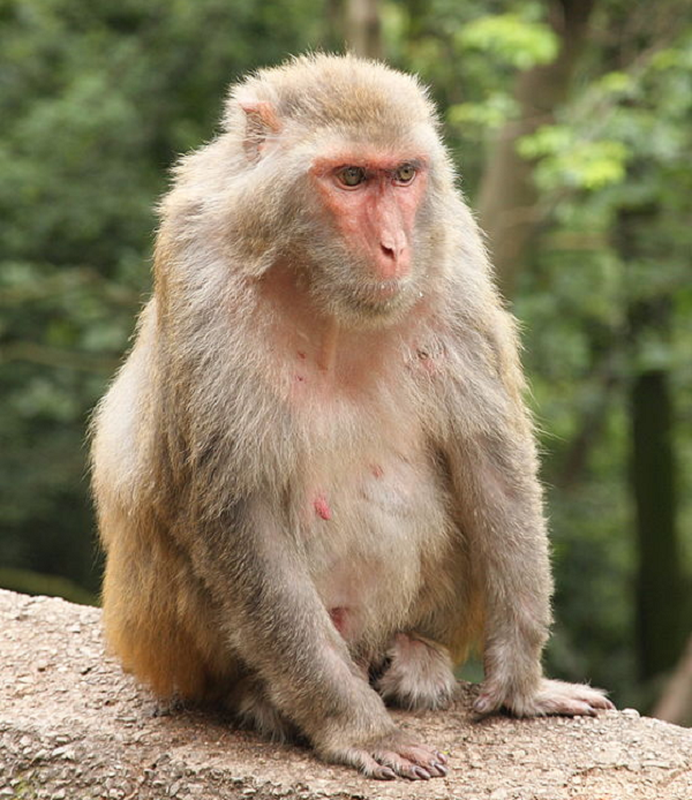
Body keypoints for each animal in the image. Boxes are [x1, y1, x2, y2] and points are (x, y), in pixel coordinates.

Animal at [90, 53, 612, 780]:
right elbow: (236, 507)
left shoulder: (451, 250)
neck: (319, 284)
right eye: (351, 177)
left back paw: (416, 653)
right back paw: (262, 695)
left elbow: (490, 455)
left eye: (403, 174)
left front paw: (521, 687)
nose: (394, 246)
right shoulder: (198, 266)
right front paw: (358, 730)